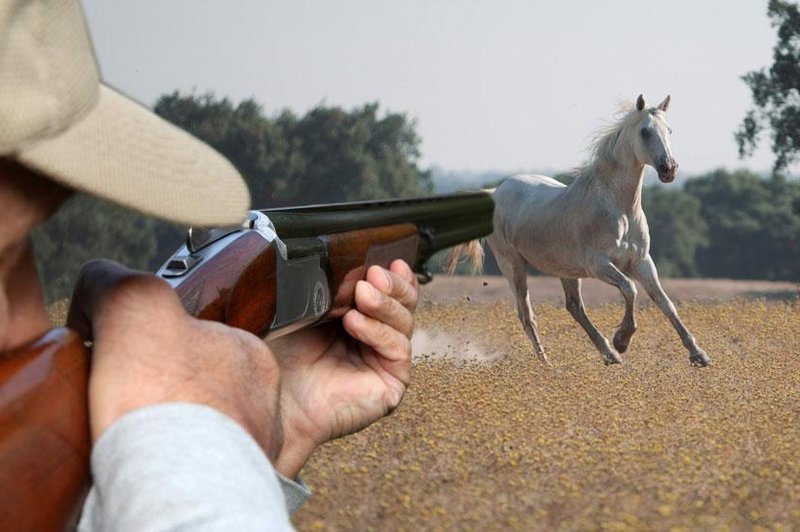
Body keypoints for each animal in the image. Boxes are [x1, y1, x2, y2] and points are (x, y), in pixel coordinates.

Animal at [446, 95, 708, 366]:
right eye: (645, 132)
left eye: (669, 130)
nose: (669, 169)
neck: (621, 210)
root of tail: (494, 192)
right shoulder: (598, 264)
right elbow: (629, 288)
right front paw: (622, 339)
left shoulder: (642, 261)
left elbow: (665, 303)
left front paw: (698, 354)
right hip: (513, 265)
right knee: (527, 315)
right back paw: (549, 363)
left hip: (566, 270)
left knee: (574, 307)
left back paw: (609, 355)